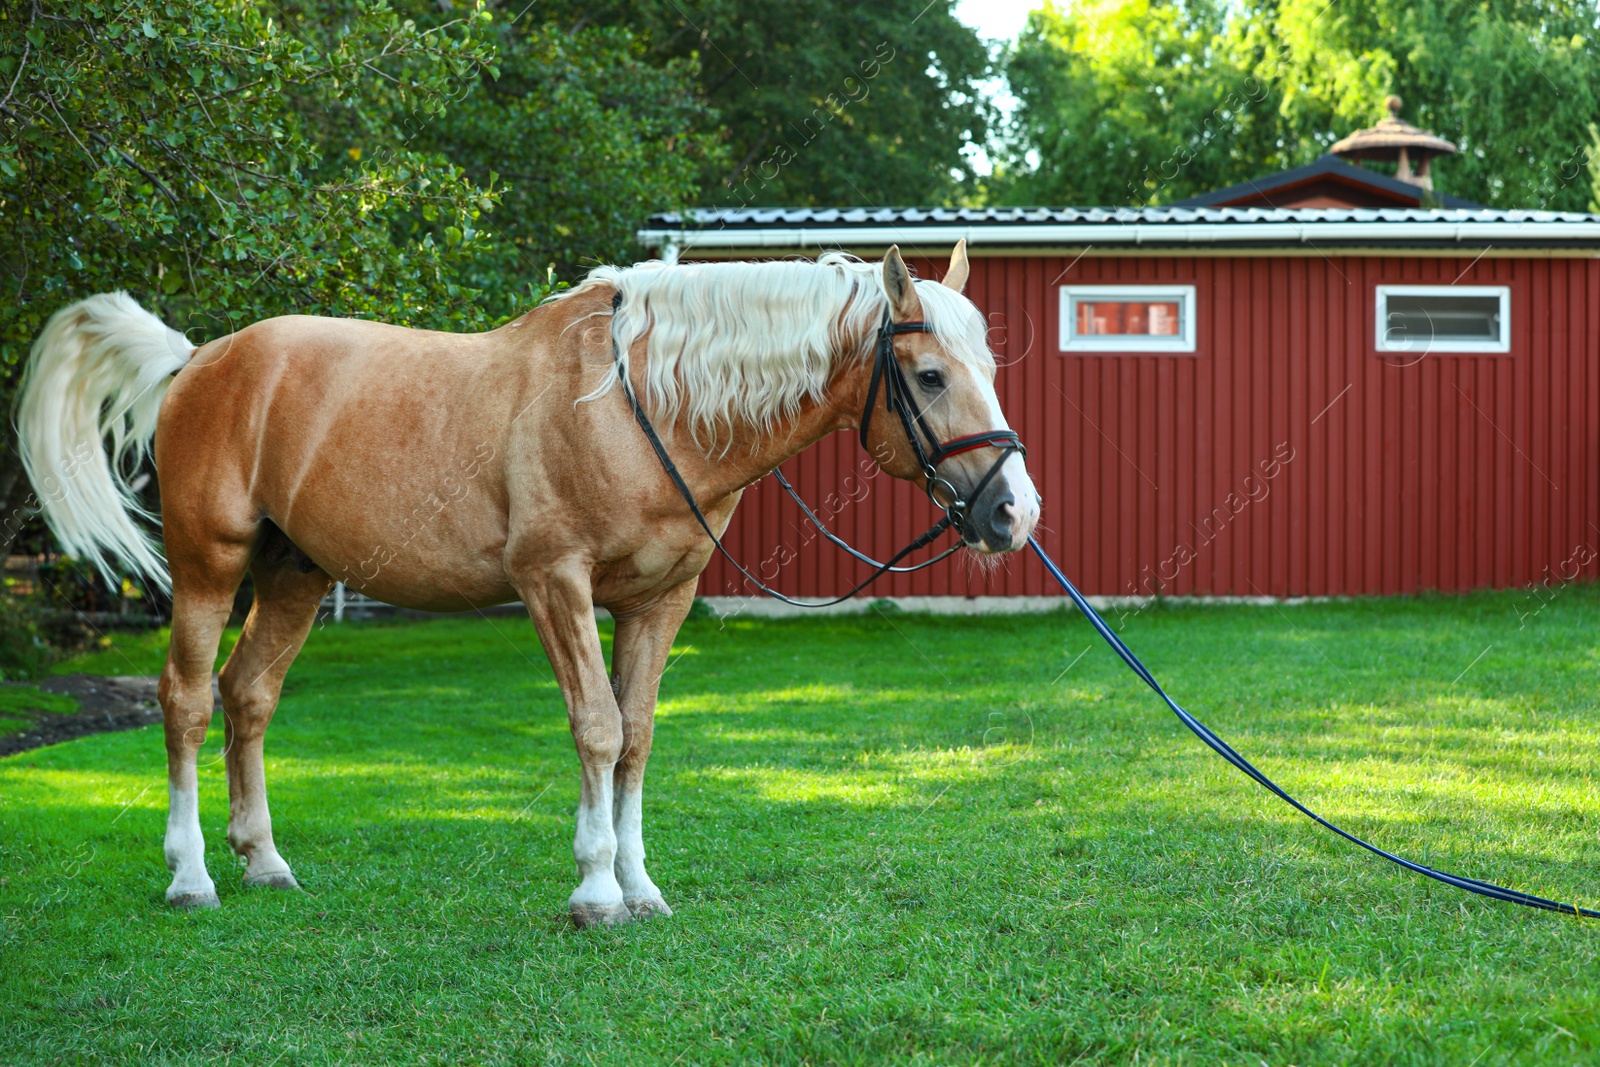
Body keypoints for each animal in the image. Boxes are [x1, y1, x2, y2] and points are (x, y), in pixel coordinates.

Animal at [18, 241, 1043, 927]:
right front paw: (595, 889)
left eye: (990, 368)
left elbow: (636, 736)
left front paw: (640, 885)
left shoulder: (658, 602)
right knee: (188, 700)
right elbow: (596, 726)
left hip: (296, 577)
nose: (1014, 513)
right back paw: (191, 875)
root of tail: (201, 359)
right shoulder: (556, 581)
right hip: (209, 567)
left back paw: (263, 860)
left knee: (249, 696)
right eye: (929, 374)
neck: (641, 406)